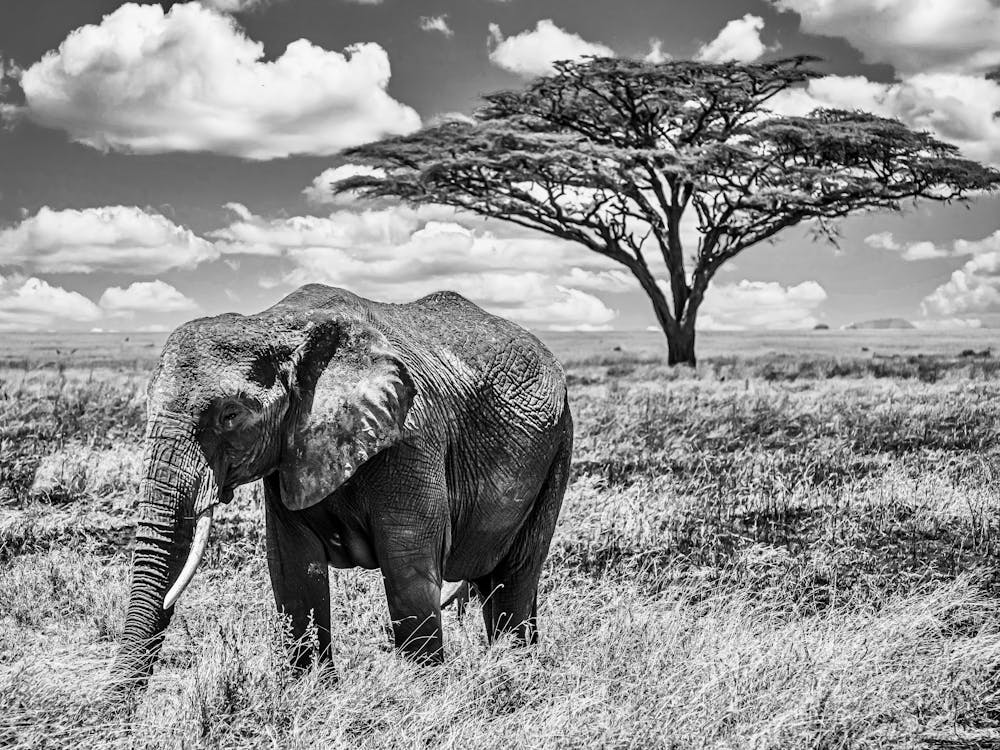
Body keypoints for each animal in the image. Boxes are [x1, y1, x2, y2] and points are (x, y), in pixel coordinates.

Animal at [111, 283, 573, 690]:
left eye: (230, 415)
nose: (118, 714)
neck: (276, 324)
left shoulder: (412, 436)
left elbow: (407, 564)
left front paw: (421, 694)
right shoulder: (289, 454)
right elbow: (294, 568)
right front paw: (314, 692)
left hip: (558, 445)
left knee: (514, 575)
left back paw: (515, 671)